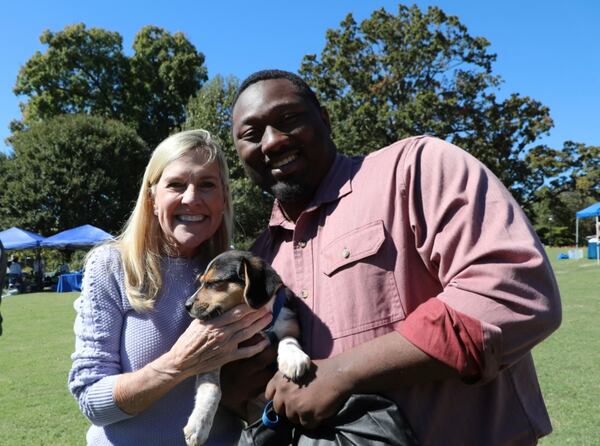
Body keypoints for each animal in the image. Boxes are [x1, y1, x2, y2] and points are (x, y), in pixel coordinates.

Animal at [182, 249, 310, 444]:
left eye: (213, 283)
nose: (186, 306)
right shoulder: (214, 356)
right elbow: (212, 389)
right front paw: (198, 426)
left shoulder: (290, 324)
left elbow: (287, 340)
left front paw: (293, 359)